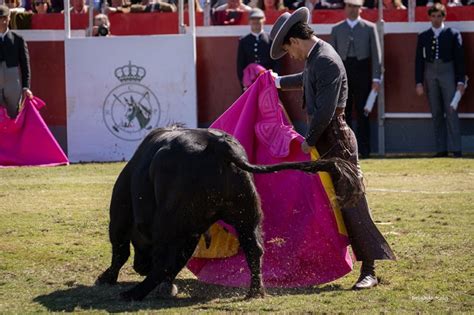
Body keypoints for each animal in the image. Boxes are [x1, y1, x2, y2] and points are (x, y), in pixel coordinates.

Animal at [96, 125, 362, 302]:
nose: (141, 267)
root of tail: (220, 148)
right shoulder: (192, 230)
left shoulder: (121, 214)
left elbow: (120, 250)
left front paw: (106, 278)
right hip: (245, 214)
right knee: (254, 249)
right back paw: (255, 292)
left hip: (168, 223)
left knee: (162, 260)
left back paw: (133, 293)